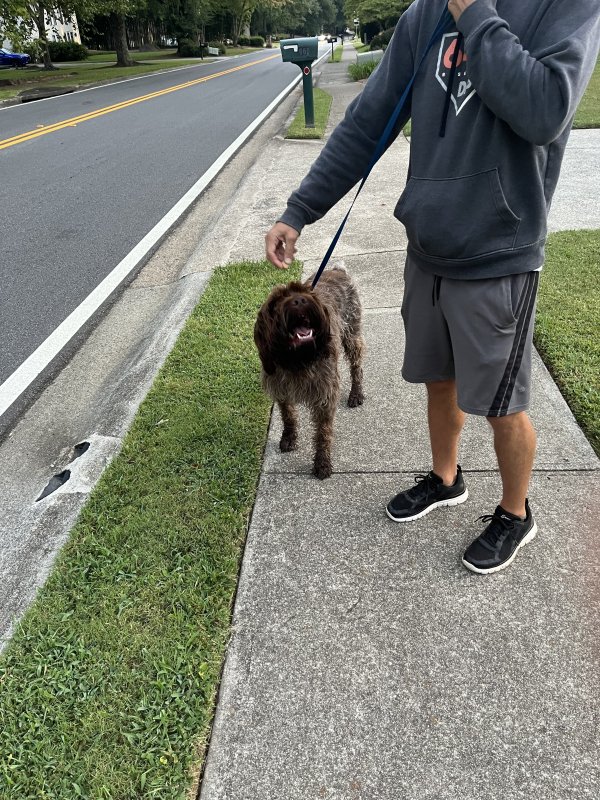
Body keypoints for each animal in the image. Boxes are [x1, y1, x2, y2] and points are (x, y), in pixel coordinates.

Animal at [254, 266, 366, 478]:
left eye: (305, 293)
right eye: (277, 300)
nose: (299, 300)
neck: (297, 360)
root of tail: (337, 269)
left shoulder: (325, 396)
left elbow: (323, 432)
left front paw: (322, 462)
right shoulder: (281, 390)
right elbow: (288, 416)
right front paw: (289, 437)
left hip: (351, 334)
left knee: (357, 366)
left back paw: (356, 393)